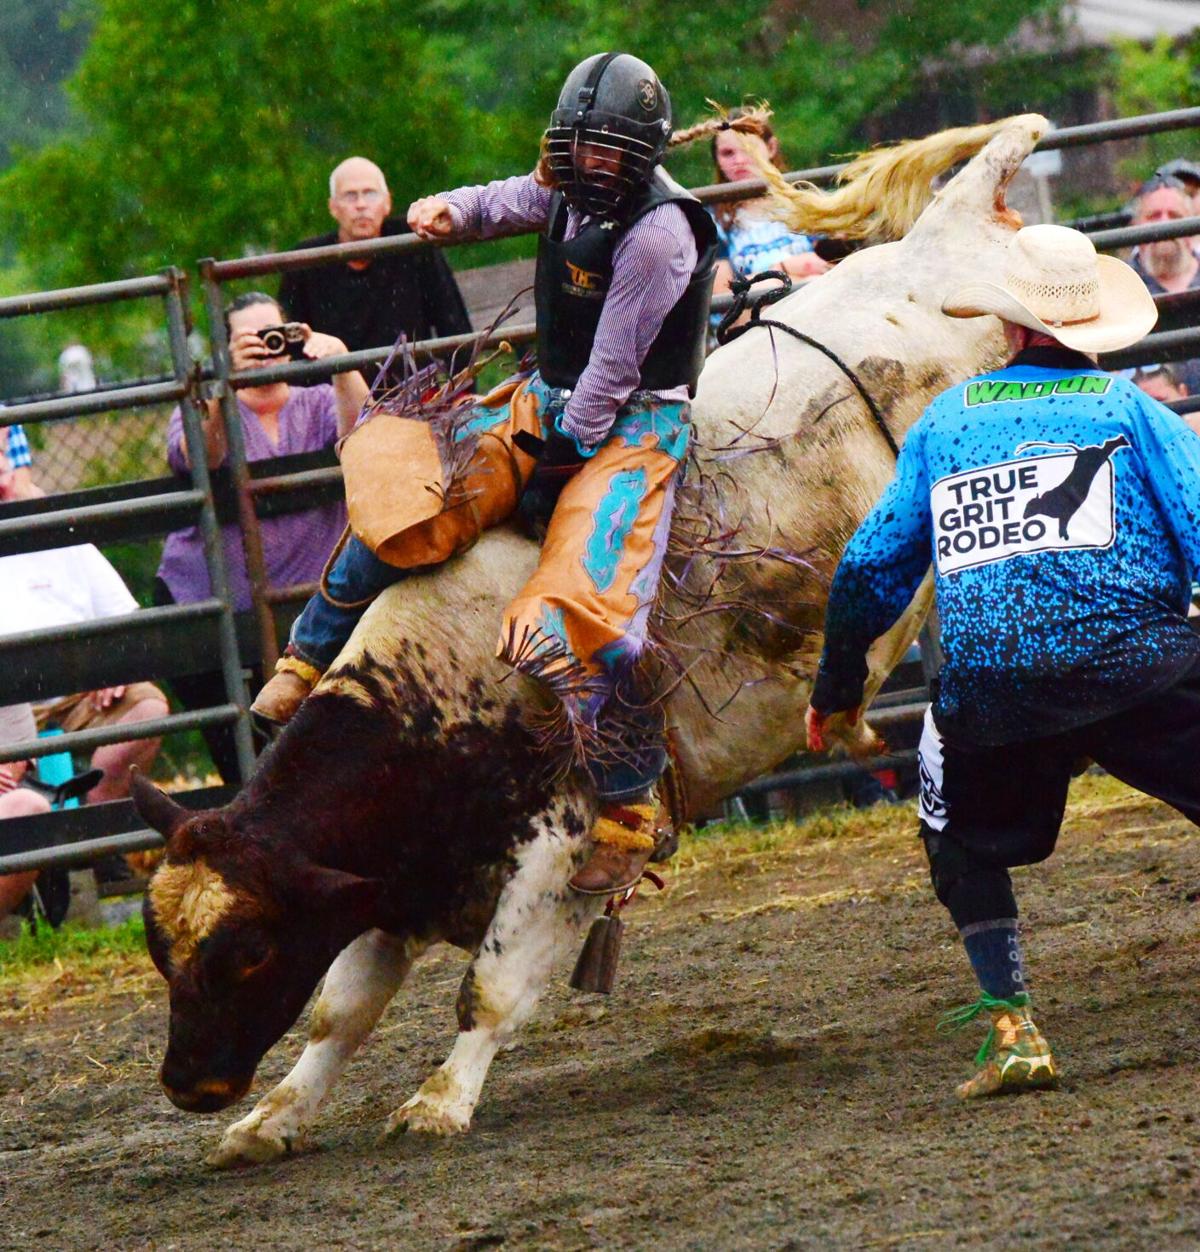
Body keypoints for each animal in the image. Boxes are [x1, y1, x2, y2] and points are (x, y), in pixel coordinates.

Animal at [131, 112, 1047, 1166]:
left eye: (247, 951)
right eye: (161, 950)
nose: (188, 1084)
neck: (442, 699)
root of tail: (943, 243)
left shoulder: (555, 849)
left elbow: (486, 990)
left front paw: (438, 1102)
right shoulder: (390, 884)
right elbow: (341, 1012)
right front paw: (270, 1119)